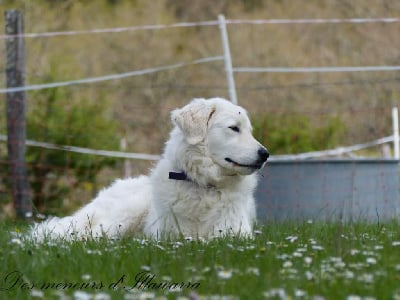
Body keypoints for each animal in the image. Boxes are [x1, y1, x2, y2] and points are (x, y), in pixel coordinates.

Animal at [31, 98, 268, 241]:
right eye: (233, 128)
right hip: (125, 212)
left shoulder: (235, 234)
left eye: (249, 130)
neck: (204, 186)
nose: (265, 154)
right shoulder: (170, 235)